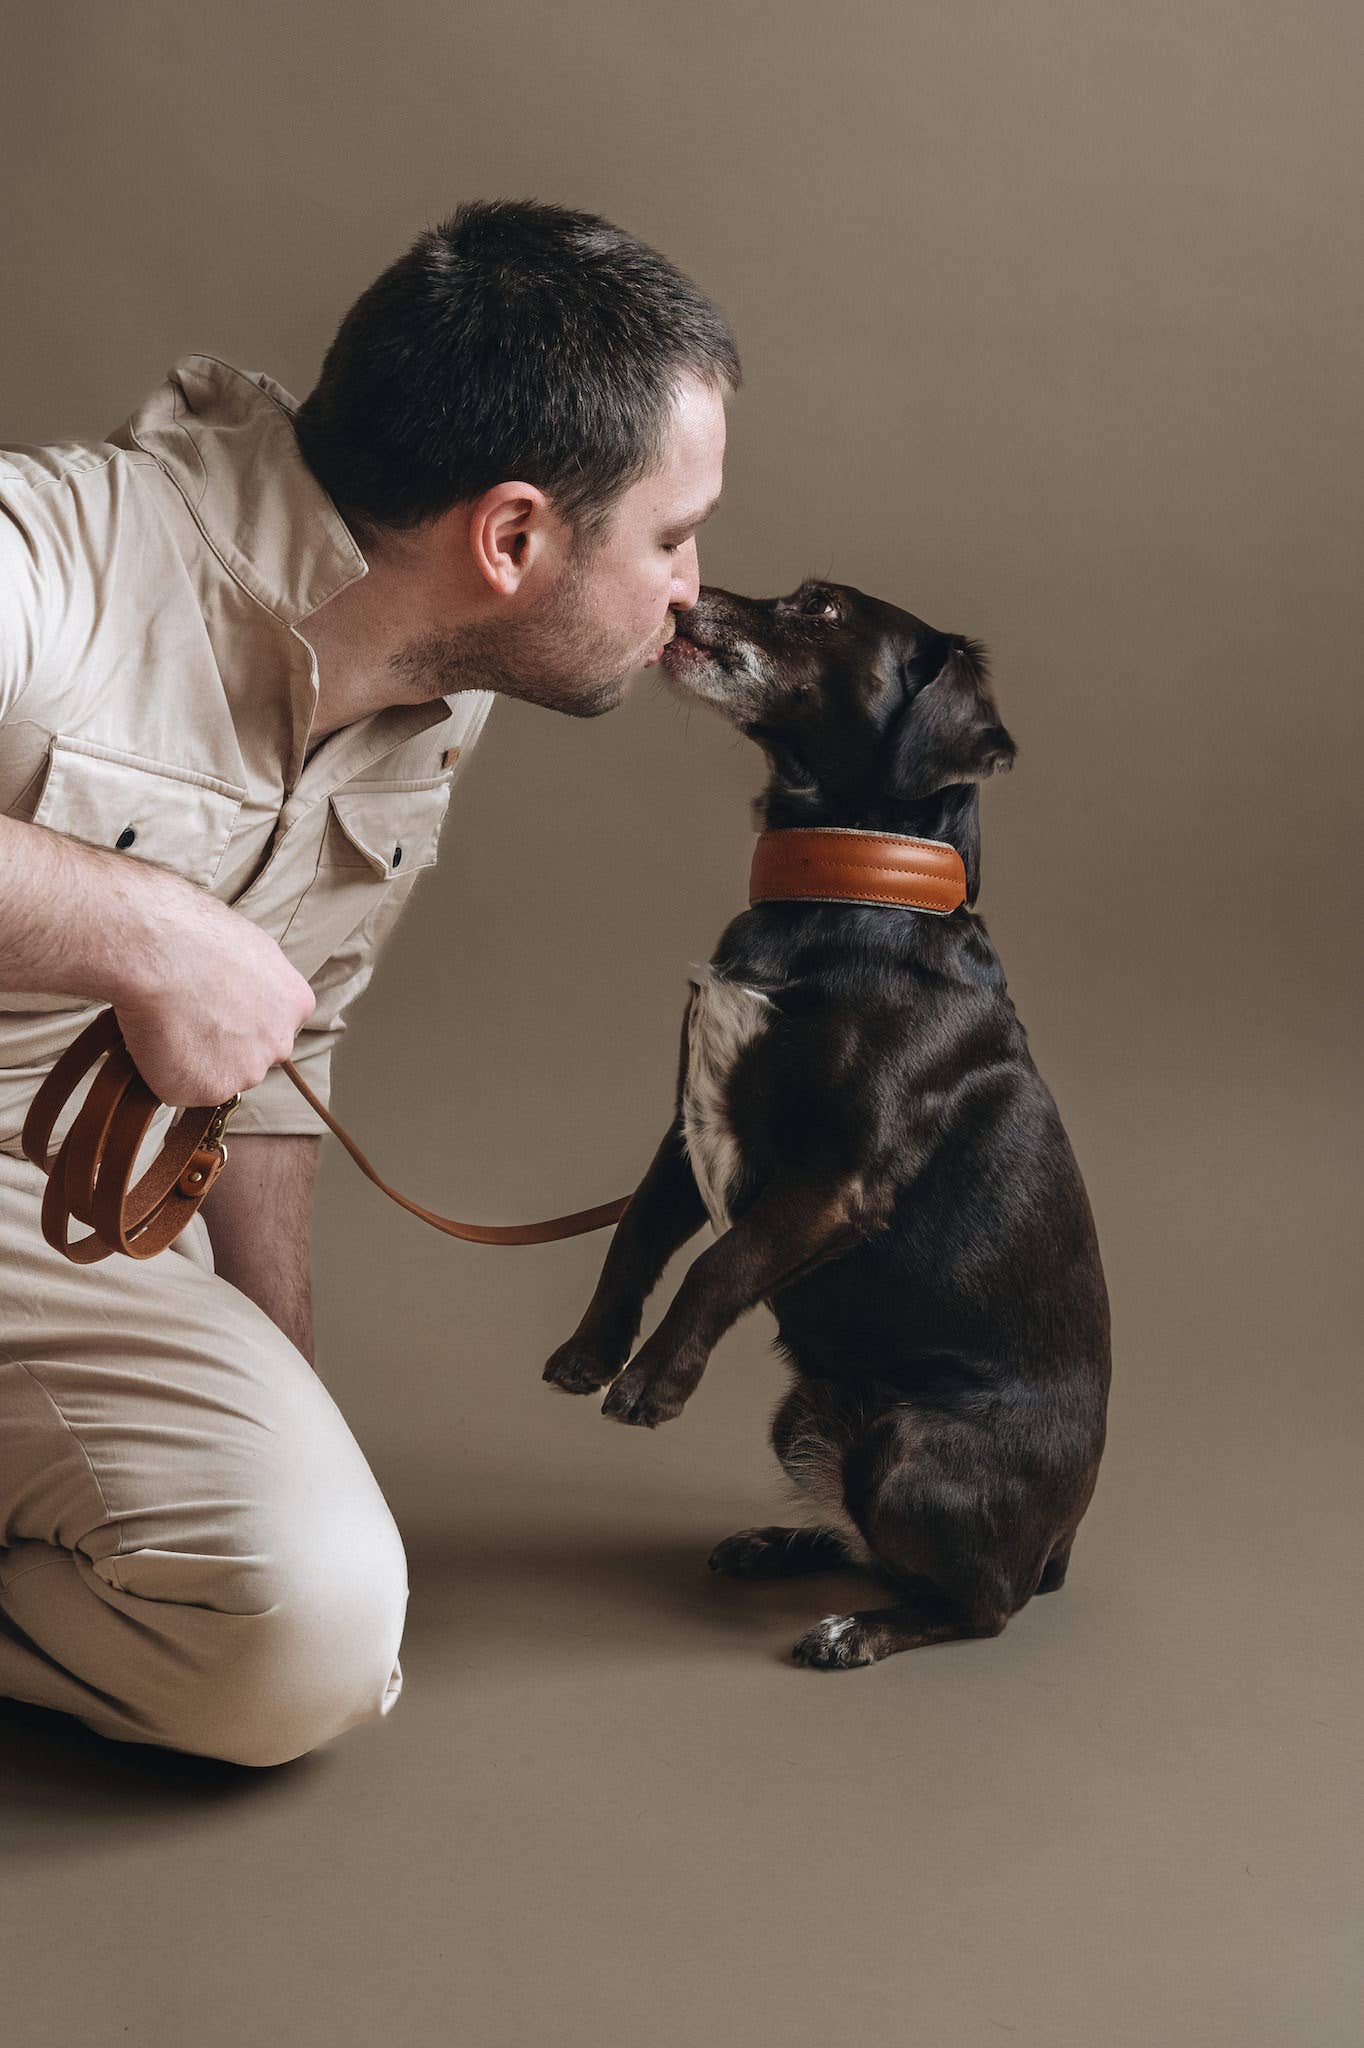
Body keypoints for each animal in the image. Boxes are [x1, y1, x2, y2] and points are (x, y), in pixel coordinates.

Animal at [540, 585, 1105, 1671]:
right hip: (803, 1411)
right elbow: (634, 1237)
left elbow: (719, 1262)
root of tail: (1063, 1539)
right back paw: (781, 1542)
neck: (844, 887)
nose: (688, 591)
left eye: (823, 610)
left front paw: (650, 1381)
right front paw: (592, 1350)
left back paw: (857, 1629)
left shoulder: (836, 1180)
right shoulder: (685, 1133)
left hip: (911, 1450)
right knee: (880, 1545)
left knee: (980, 1602)